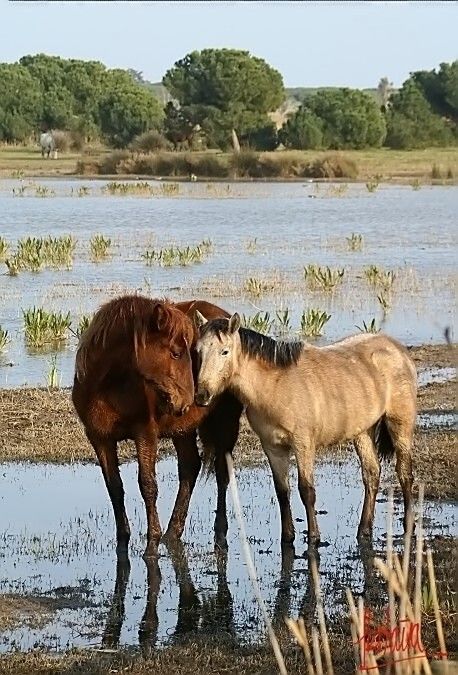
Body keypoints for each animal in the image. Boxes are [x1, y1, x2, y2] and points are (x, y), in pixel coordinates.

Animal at [71, 298, 242, 560]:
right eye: (176, 353)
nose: (190, 400)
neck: (108, 386)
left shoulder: (145, 434)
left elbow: (148, 485)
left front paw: (151, 544)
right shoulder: (99, 439)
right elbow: (114, 487)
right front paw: (123, 539)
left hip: (225, 423)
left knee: (222, 473)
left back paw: (219, 531)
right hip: (183, 431)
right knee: (190, 468)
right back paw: (173, 531)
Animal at [195, 314, 416, 548]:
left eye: (224, 351)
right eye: (198, 351)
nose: (202, 395)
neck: (276, 386)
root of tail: (396, 349)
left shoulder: (303, 444)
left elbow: (306, 490)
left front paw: (314, 538)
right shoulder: (273, 447)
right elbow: (282, 491)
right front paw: (287, 537)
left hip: (400, 424)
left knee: (404, 473)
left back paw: (409, 524)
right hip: (363, 431)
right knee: (371, 473)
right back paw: (363, 531)